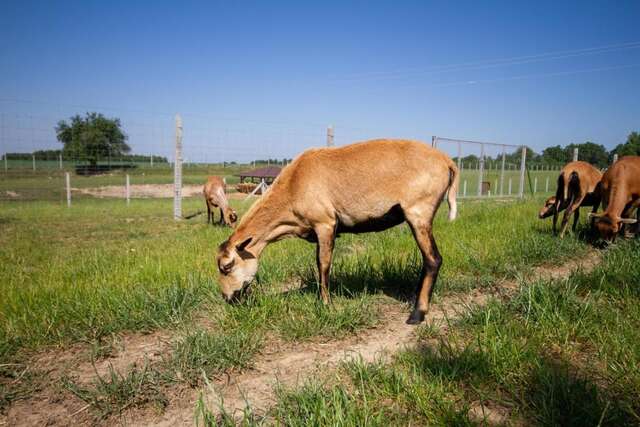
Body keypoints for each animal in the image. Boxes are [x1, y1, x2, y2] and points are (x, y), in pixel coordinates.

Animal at [216, 140, 460, 324]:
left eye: (227, 266)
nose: (227, 298)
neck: (293, 187)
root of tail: (447, 162)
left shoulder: (324, 223)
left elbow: (323, 264)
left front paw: (325, 304)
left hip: (419, 211)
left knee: (433, 260)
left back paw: (417, 314)